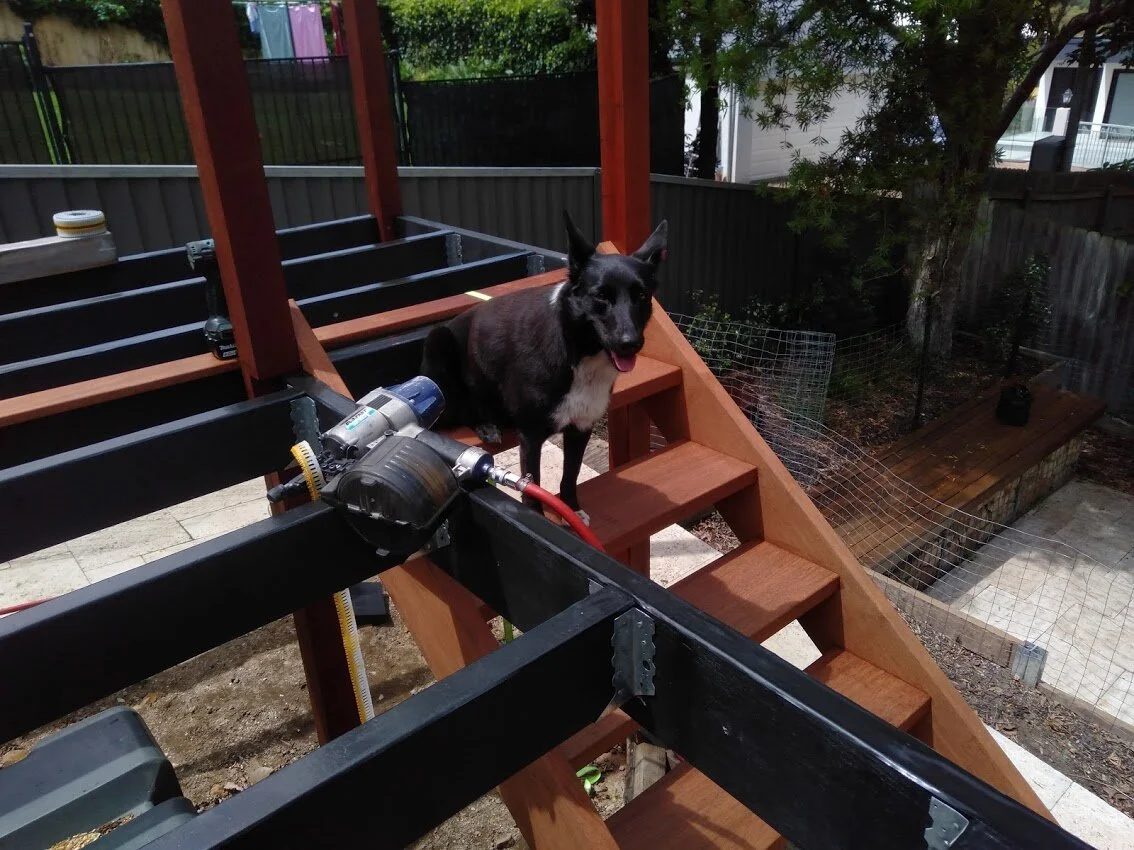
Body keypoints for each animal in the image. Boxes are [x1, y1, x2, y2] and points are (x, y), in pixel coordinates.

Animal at [420, 211, 668, 518]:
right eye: (600, 295)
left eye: (642, 296)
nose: (630, 343)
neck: (577, 353)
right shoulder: (531, 436)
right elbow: (532, 487)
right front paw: (537, 517)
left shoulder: (580, 428)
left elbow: (570, 475)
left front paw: (571, 510)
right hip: (438, 343)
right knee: (455, 412)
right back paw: (485, 424)